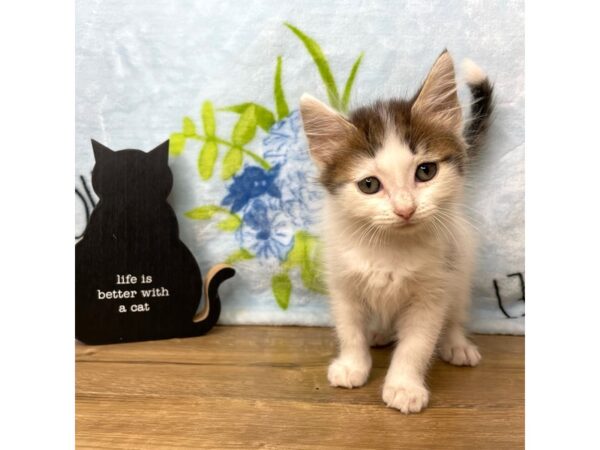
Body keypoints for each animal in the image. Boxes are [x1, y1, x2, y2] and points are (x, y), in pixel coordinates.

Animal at [298, 51, 492, 414]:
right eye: (369, 185)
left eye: (426, 171)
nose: (405, 209)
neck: (389, 246)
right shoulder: (343, 281)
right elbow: (349, 329)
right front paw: (353, 365)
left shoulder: (433, 290)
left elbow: (416, 344)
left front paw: (404, 387)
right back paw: (378, 334)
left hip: (460, 269)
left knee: (455, 314)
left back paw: (456, 344)